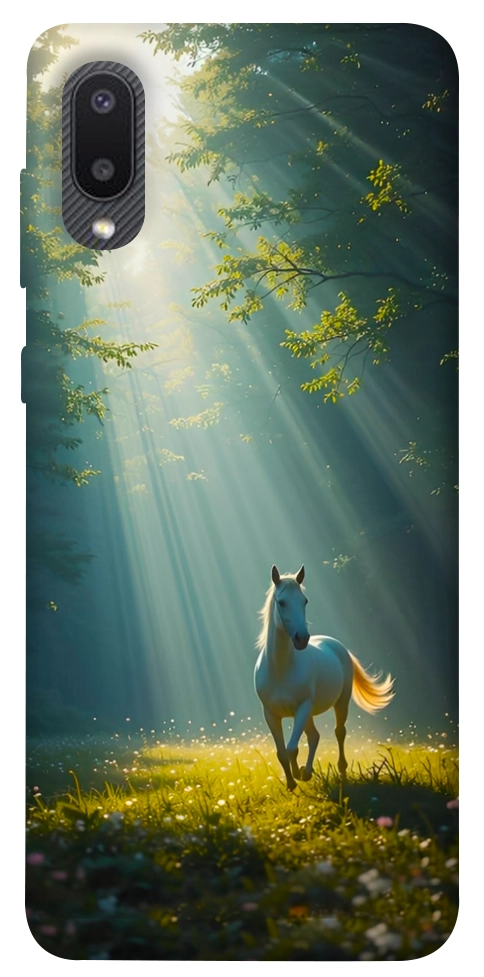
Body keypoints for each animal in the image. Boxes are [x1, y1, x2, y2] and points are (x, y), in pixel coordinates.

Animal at [254, 564, 395, 791]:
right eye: (282, 602)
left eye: (304, 601)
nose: (302, 638)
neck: (280, 669)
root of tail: (336, 645)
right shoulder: (271, 715)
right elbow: (282, 752)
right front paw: (292, 782)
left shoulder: (302, 708)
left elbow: (292, 748)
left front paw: (298, 774)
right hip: (308, 714)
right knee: (314, 736)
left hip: (340, 703)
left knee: (339, 732)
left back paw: (340, 770)